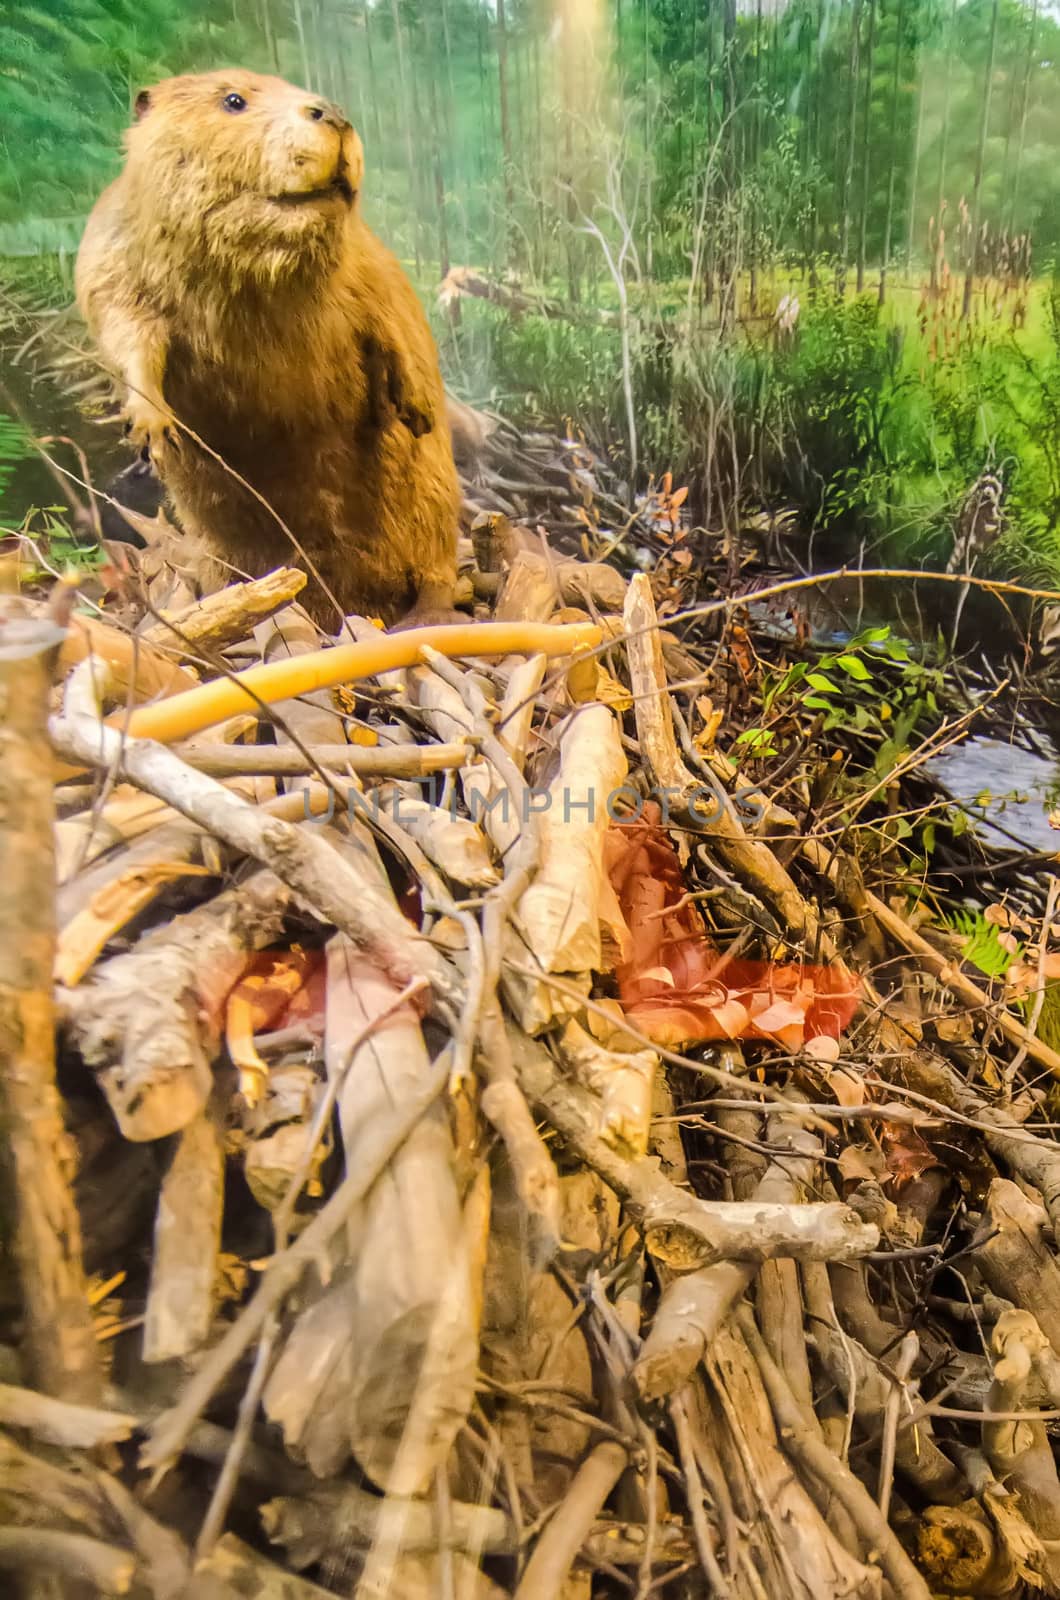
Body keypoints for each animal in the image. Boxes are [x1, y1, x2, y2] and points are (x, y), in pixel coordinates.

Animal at [70, 70, 461, 630]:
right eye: (233, 100)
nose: (333, 113)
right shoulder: (112, 255)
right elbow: (128, 334)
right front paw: (150, 428)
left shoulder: (370, 262)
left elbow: (390, 320)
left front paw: (419, 411)